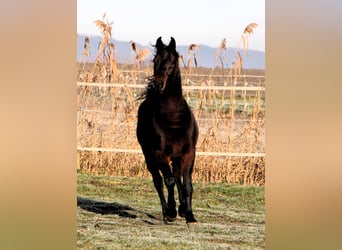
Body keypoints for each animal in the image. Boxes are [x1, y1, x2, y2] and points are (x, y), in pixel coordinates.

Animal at [136, 36, 199, 223]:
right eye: (155, 61)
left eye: (172, 62)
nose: (157, 84)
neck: (173, 117)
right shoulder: (159, 153)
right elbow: (168, 180)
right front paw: (171, 212)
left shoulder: (188, 153)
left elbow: (187, 184)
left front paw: (189, 214)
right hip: (149, 155)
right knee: (159, 180)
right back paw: (167, 211)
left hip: (176, 157)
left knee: (178, 177)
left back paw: (183, 209)